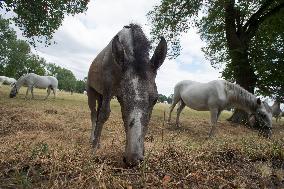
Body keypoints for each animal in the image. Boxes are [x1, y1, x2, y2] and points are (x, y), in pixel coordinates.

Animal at [86, 24, 166, 167]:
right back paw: (93, 140)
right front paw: (93, 150)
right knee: (94, 114)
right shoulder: (108, 89)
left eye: (155, 99)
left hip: (100, 96)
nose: (133, 159)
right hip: (92, 92)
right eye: (120, 98)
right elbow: (104, 115)